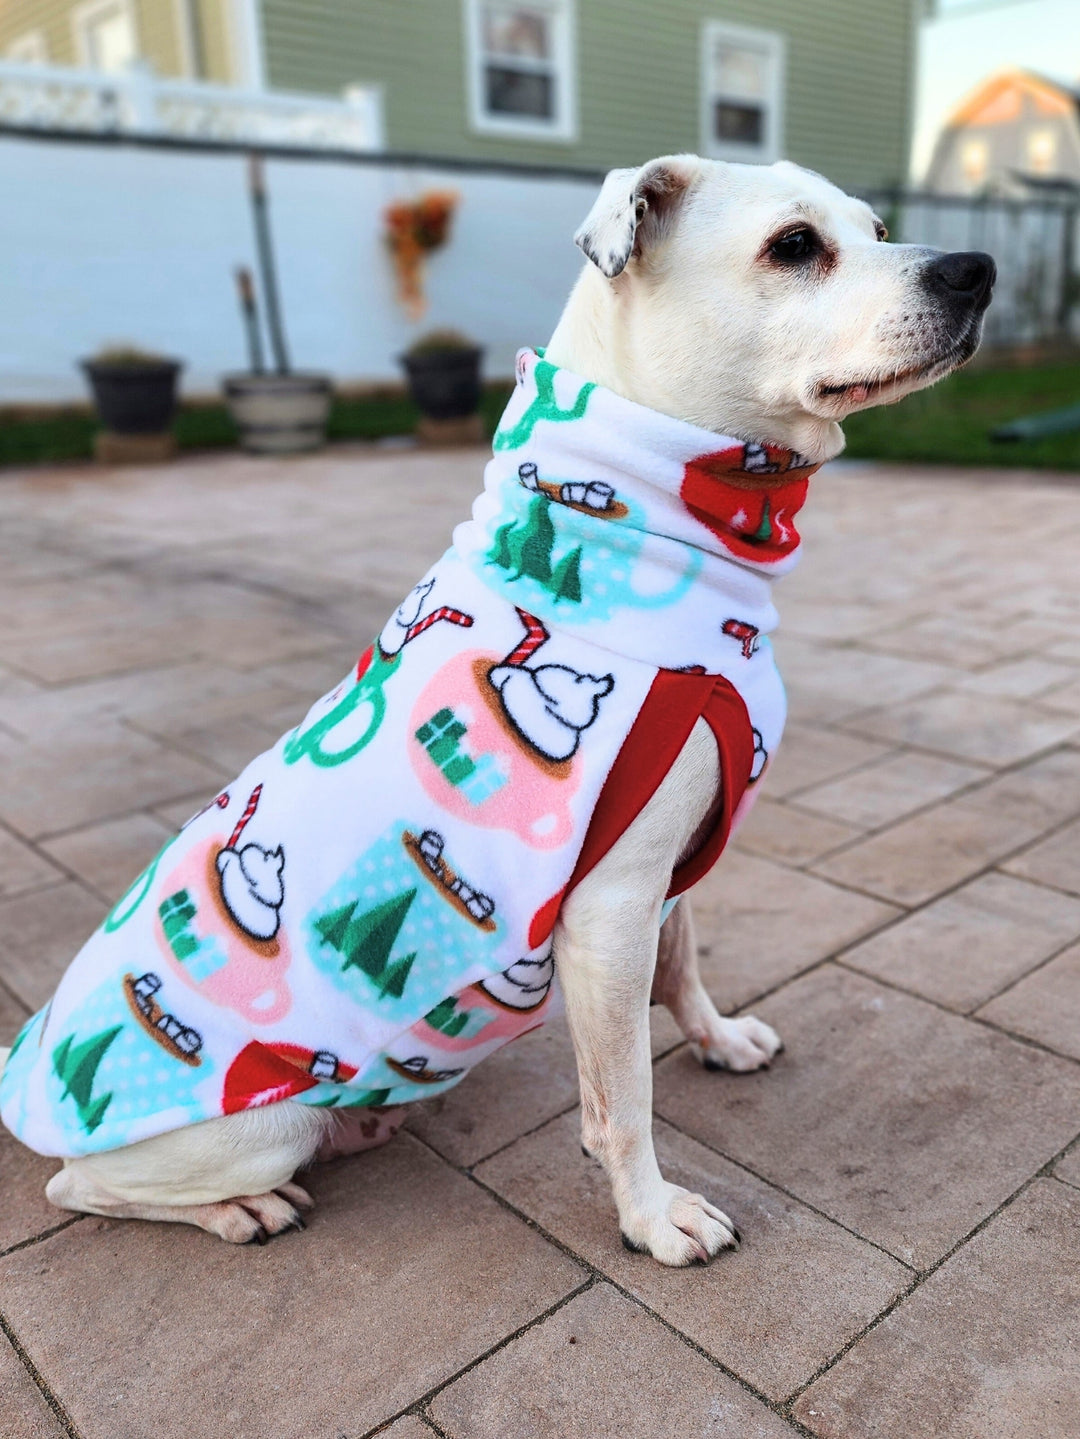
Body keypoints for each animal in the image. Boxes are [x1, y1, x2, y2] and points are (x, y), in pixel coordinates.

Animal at [2, 151, 995, 1266]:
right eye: (794, 245)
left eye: (877, 228)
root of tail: (28, 1069)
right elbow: (624, 1096)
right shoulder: (609, 910)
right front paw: (653, 1216)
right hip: (252, 1123)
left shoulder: (664, 870)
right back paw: (236, 1208)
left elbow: (686, 966)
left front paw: (721, 1039)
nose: (976, 270)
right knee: (81, 1188)